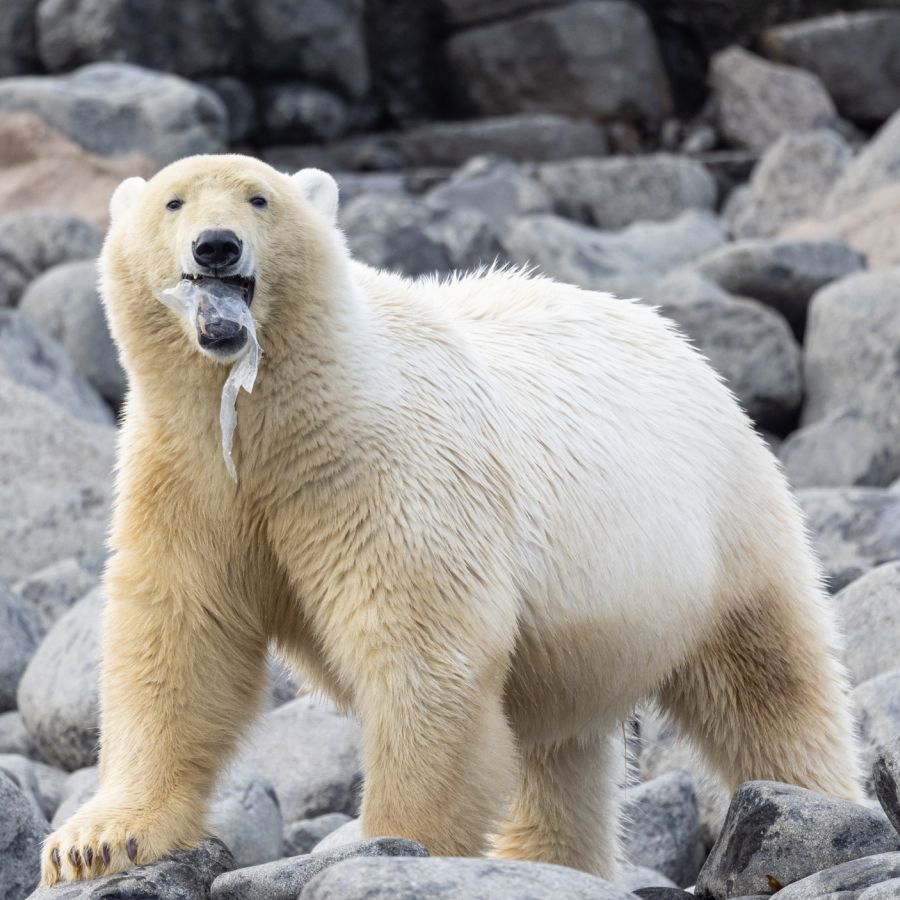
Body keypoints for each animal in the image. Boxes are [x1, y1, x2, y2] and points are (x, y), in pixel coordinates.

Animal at [42, 153, 862, 885]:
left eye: (259, 198)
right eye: (174, 202)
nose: (217, 245)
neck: (277, 414)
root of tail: (678, 340)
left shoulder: (383, 468)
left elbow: (423, 650)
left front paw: (393, 844)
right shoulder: (189, 474)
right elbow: (180, 635)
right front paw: (96, 842)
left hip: (719, 521)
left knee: (769, 682)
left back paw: (817, 806)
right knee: (559, 745)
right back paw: (542, 861)